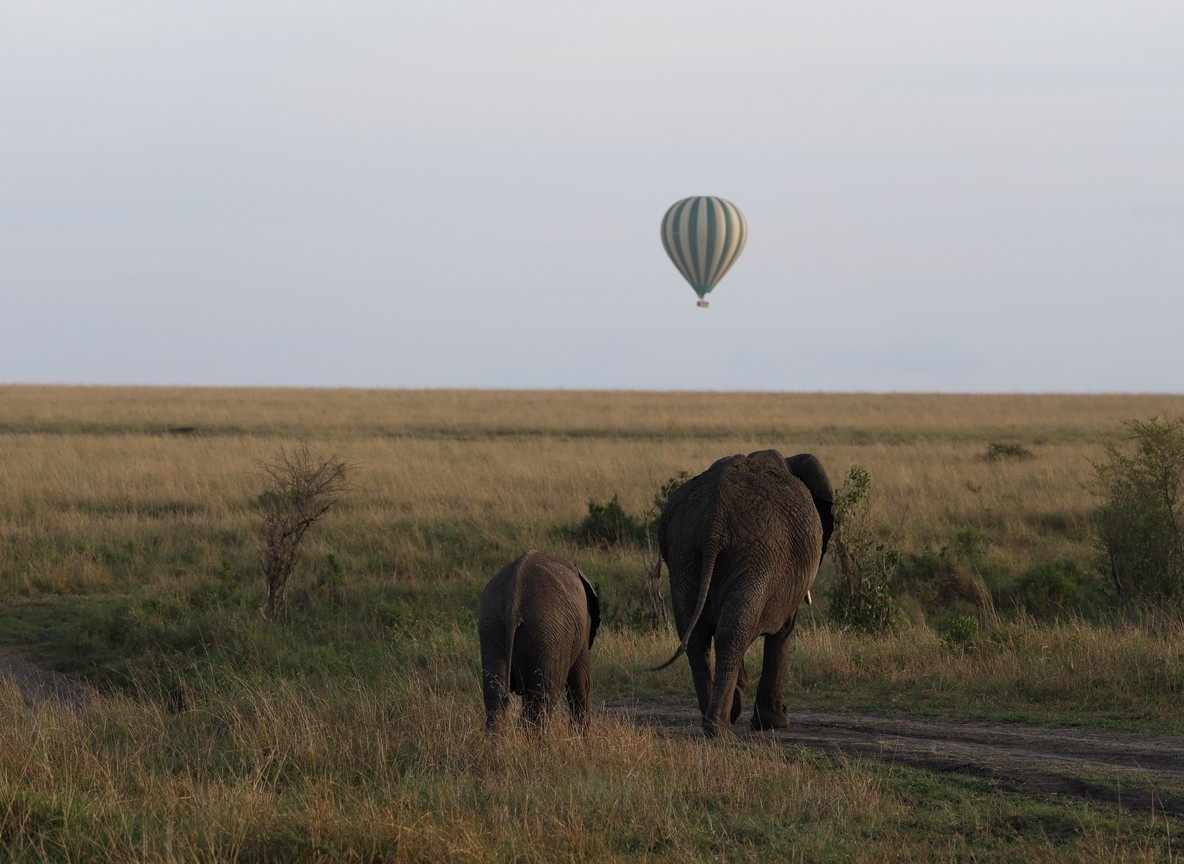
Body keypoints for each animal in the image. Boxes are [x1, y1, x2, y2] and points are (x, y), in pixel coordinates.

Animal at [479, 550, 600, 733]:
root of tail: (513, 609)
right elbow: (581, 681)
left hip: (491, 624)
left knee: (496, 694)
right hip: (549, 632)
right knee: (545, 696)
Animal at [653, 449, 834, 737]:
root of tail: (714, 519)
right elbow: (784, 630)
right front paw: (774, 723)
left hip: (684, 552)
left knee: (700, 633)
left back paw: (719, 718)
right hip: (759, 554)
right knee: (733, 632)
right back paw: (721, 727)